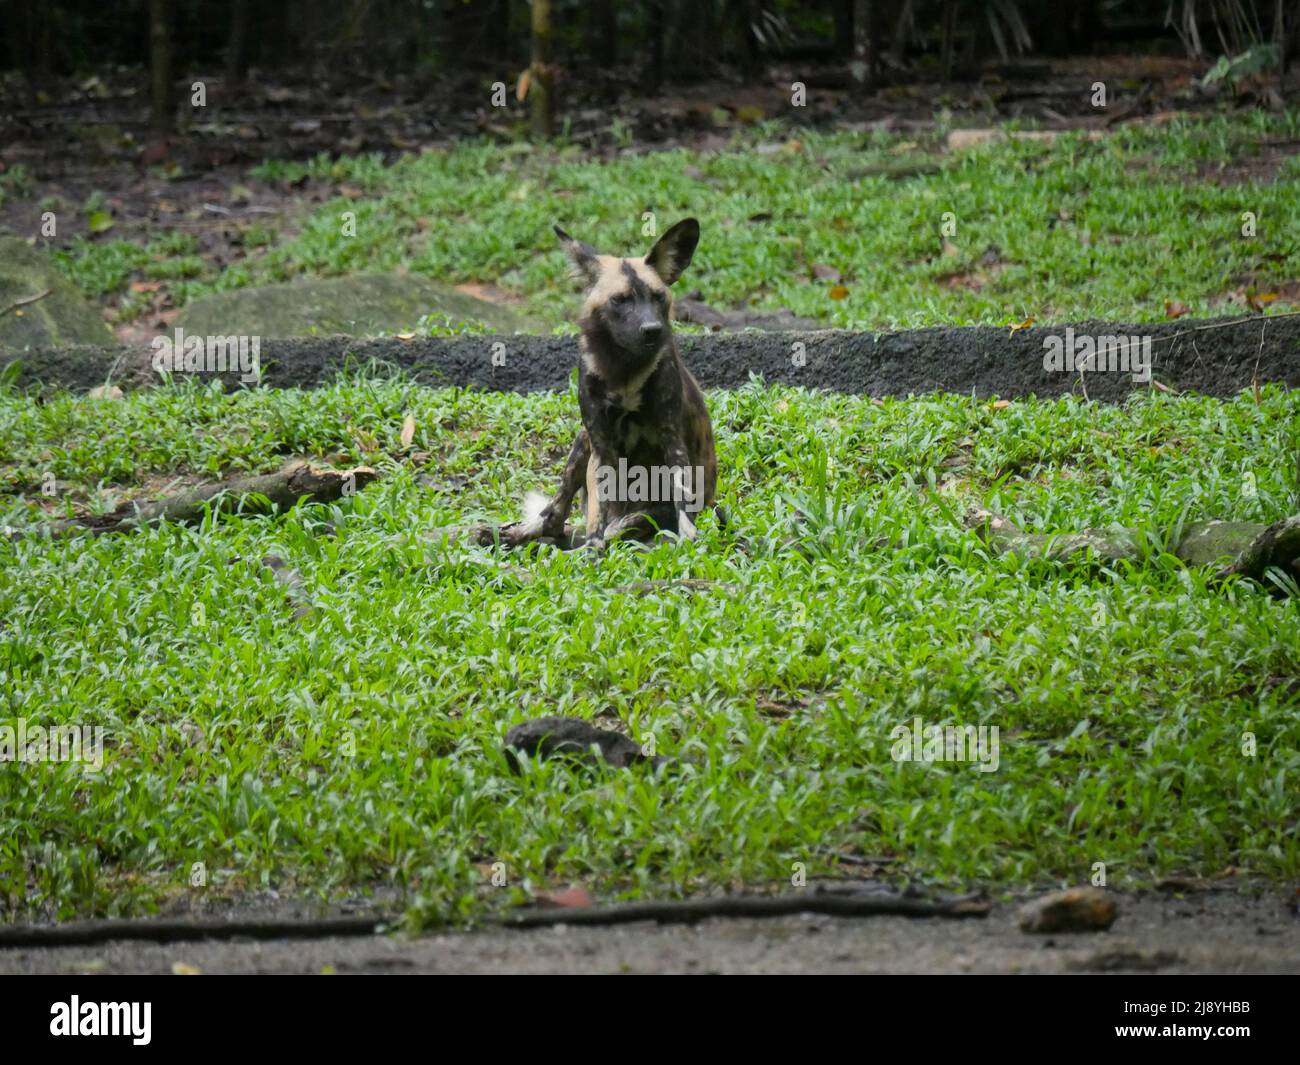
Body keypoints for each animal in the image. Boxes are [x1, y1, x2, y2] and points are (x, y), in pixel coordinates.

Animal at [517, 217, 717, 548]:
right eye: (620, 300)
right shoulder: (600, 443)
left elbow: (682, 505)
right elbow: (597, 517)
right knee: (556, 516)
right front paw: (593, 550)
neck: (624, 368)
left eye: (658, 297)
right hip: (582, 442)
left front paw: (689, 541)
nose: (652, 329)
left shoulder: (672, 439)